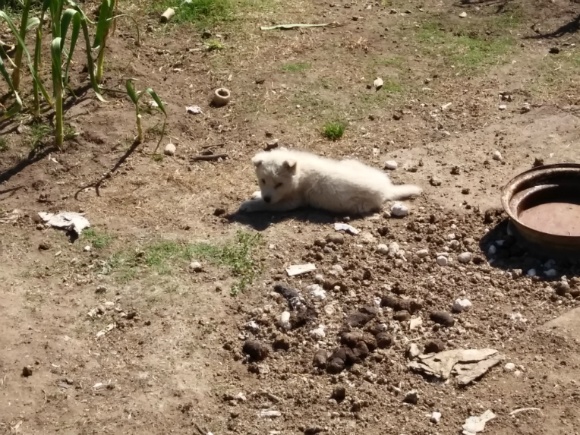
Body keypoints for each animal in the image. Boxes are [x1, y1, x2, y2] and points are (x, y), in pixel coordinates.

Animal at [240, 148, 422, 216]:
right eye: (263, 180)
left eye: (279, 184)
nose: (267, 197)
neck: (299, 172)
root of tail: (387, 188)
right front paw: (257, 195)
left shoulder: (293, 201)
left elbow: (269, 205)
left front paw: (251, 205)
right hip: (349, 162)